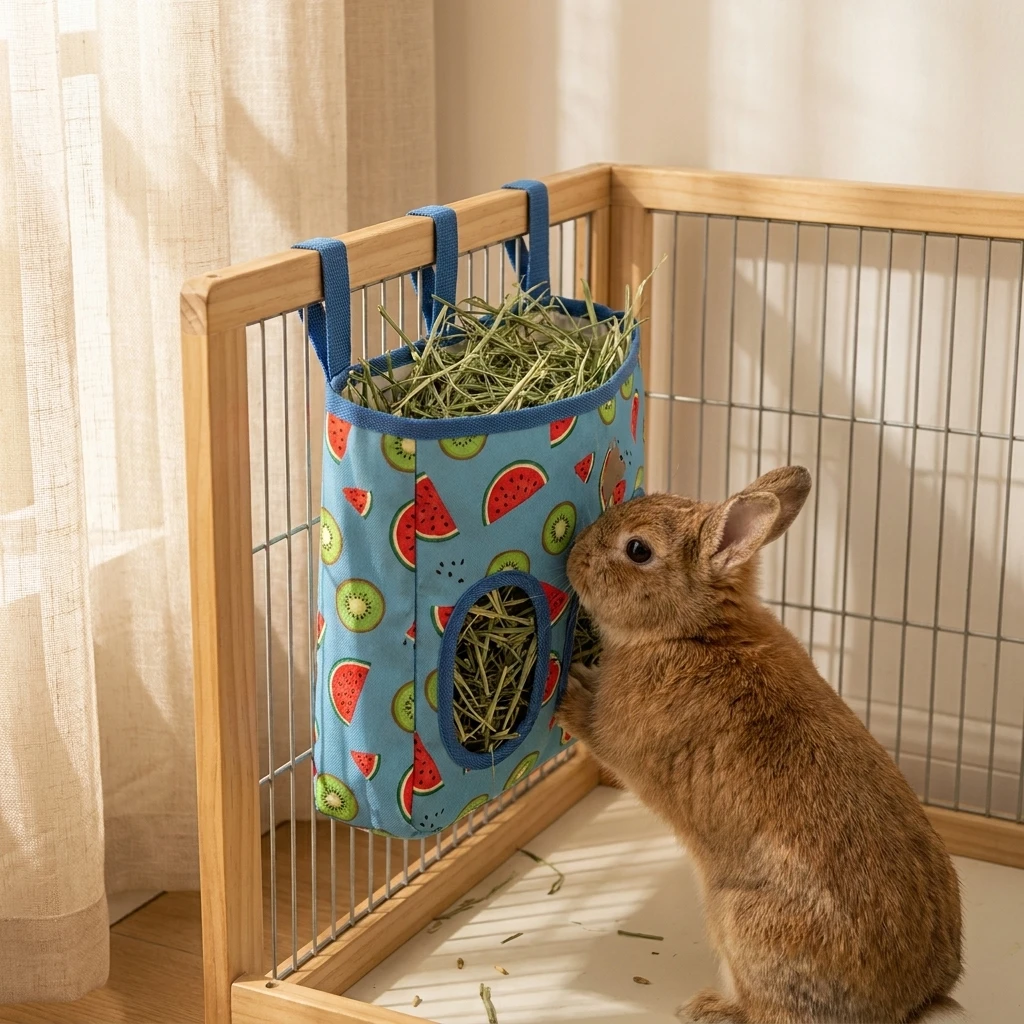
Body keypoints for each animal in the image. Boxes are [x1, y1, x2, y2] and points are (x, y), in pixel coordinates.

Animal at [558, 466, 964, 1024]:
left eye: (637, 549)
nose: (574, 556)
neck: (694, 632)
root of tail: (912, 1002)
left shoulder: (616, 734)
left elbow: (592, 727)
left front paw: (566, 694)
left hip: (742, 922)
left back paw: (708, 1007)